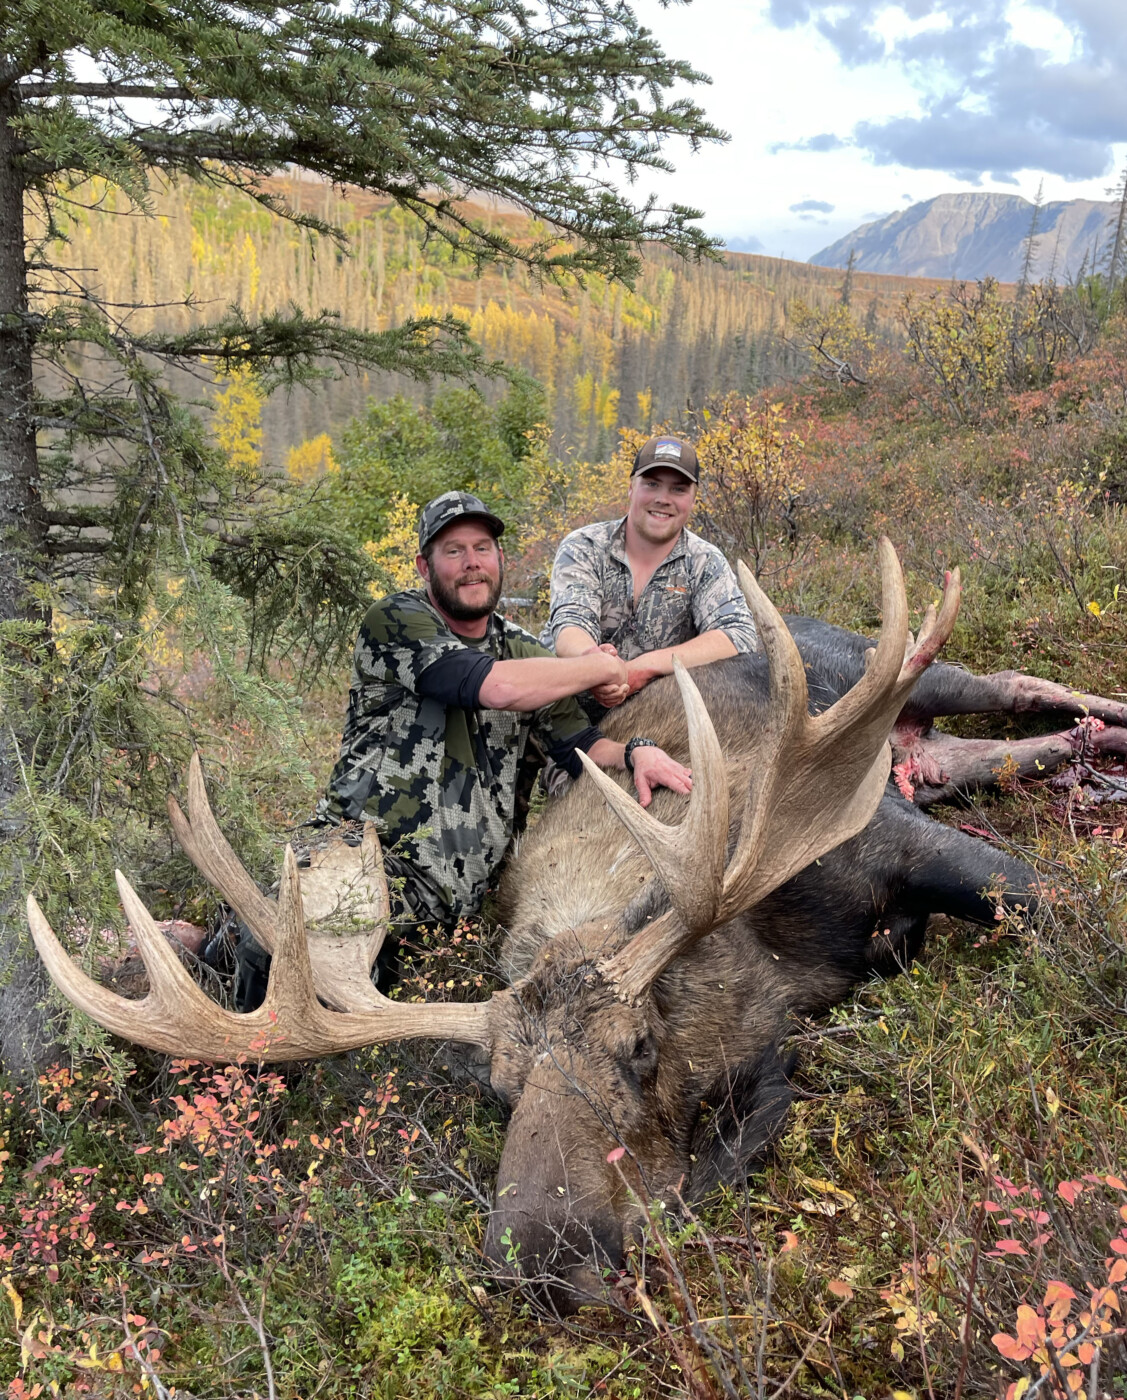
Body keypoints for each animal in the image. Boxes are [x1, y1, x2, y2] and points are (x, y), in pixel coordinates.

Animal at [24, 540, 1114, 1304]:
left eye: (641, 1048)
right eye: (499, 1091)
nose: (533, 1261)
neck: (765, 951)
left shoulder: (892, 839)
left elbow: (1049, 903)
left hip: (914, 672)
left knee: (1036, 687)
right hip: (938, 755)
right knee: (1012, 744)